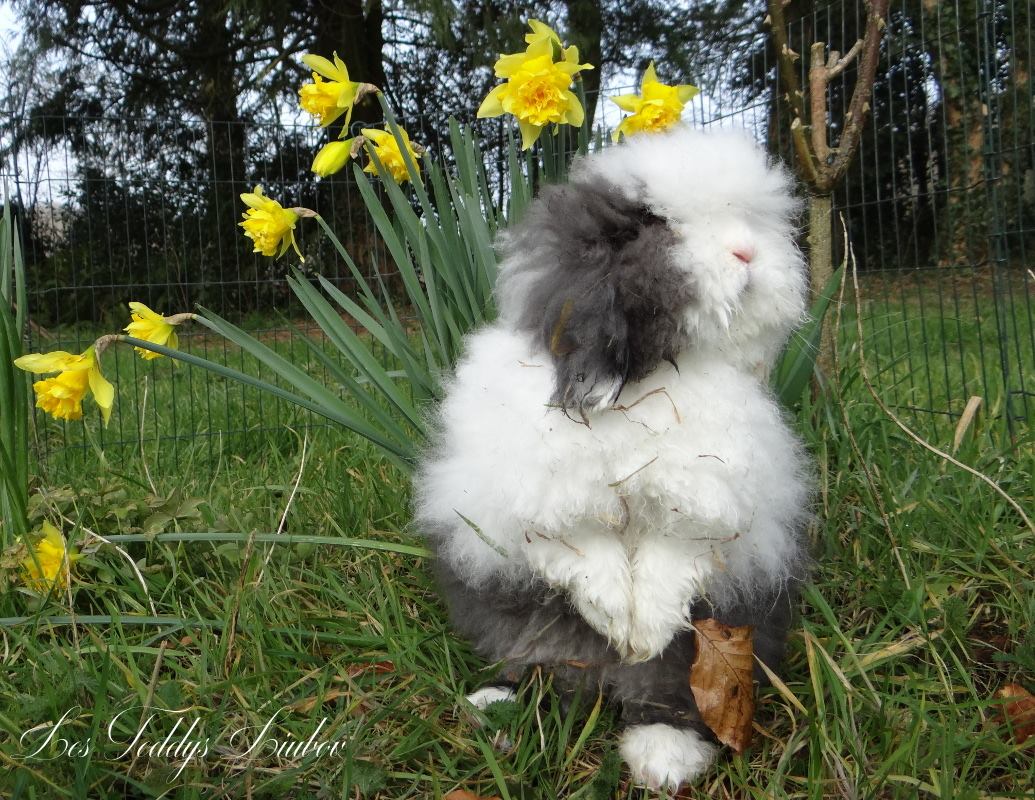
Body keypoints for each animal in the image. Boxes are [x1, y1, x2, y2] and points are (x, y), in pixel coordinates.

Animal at [414, 125, 812, 791]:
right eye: (656, 225)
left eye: (754, 220)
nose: (747, 254)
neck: (652, 380)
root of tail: (601, 683)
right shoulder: (536, 504)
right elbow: (582, 550)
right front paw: (611, 613)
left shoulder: (705, 507)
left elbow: (666, 563)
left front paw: (642, 628)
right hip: (521, 624)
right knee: (540, 666)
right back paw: (496, 706)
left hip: (714, 644)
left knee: (667, 687)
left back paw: (664, 756)